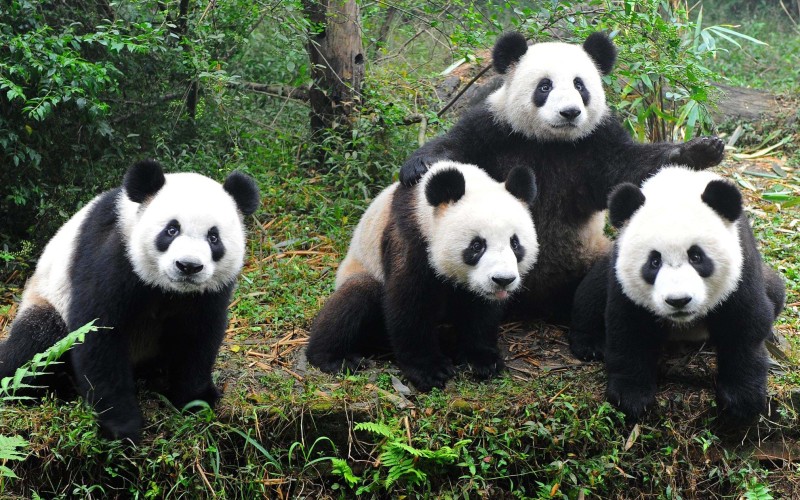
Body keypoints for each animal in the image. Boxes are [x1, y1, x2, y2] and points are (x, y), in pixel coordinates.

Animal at [0, 160, 260, 442]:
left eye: (214, 238)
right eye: (171, 230)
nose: (188, 266)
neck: (169, 288)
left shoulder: (209, 291)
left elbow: (197, 336)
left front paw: (197, 401)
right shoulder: (113, 254)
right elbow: (98, 334)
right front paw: (122, 426)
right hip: (47, 299)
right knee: (36, 344)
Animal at [306, 161, 539, 391]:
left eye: (515, 243)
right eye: (477, 245)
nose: (503, 280)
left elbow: (480, 311)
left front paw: (482, 360)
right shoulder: (410, 236)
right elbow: (409, 303)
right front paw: (430, 371)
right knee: (356, 296)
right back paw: (335, 358)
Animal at [399, 32, 725, 320]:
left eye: (580, 85)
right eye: (545, 86)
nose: (570, 112)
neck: (551, 142)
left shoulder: (596, 143)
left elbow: (630, 167)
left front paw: (700, 150)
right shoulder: (495, 129)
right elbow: (457, 146)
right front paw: (418, 167)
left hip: (590, 254)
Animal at [569, 166, 785, 422]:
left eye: (696, 256)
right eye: (654, 261)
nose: (678, 300)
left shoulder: (742, 266)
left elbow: (745, 325)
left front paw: (742, 400)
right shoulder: (623, 279)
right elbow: (629, 329)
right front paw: (631, 396)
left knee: (776, 291)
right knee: (591, 293)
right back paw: (589, 344)